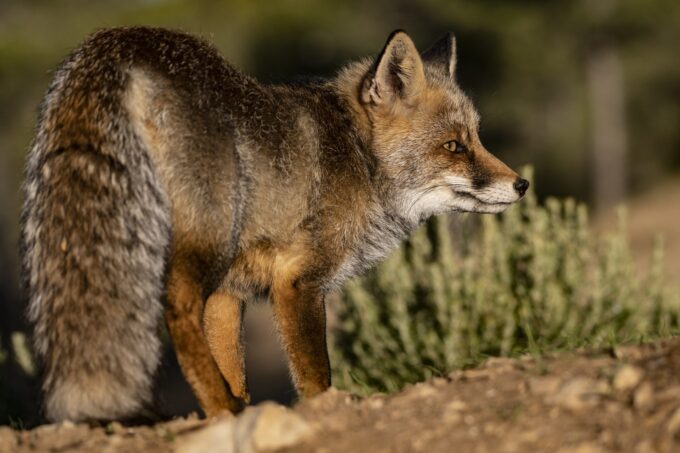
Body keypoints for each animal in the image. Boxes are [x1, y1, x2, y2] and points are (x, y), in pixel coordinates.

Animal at [21, 26, 528, 422]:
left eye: (476, 138)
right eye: (453, 147)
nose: (521, 184)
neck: (359, 155)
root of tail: (122, 39)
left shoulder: (231, 290)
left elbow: (235, 368)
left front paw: (238, 410)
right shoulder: (298, 282)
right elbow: (316, 375)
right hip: (207, 238)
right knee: (175, 306)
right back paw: (219, 408)